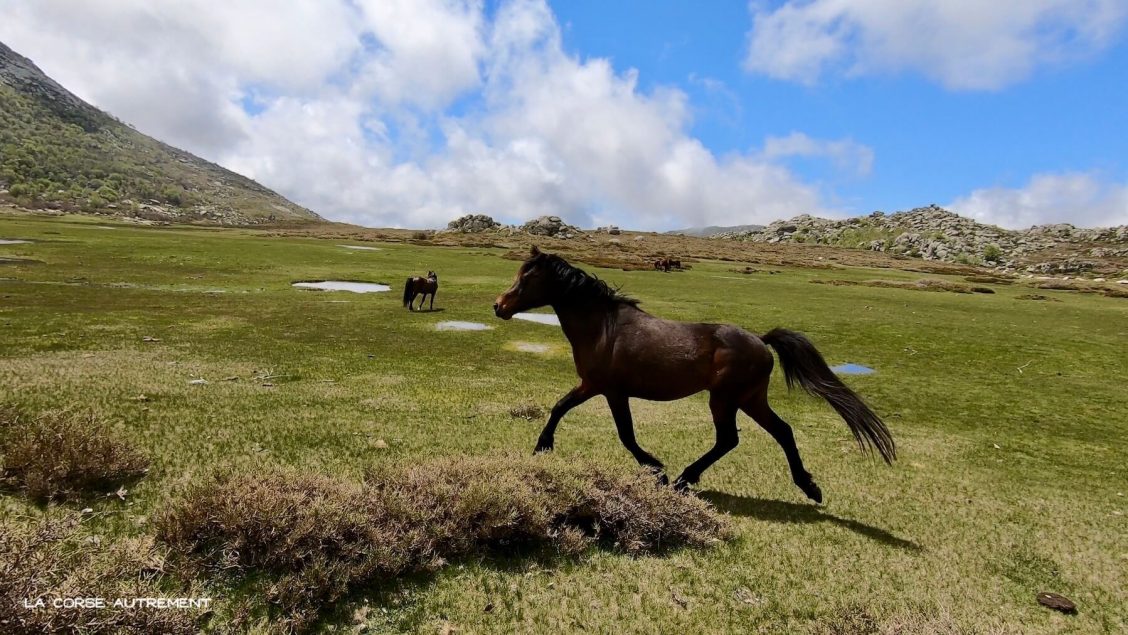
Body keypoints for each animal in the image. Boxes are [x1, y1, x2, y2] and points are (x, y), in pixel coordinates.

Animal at [489, 248, 893, 503]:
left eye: (526, 279)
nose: (498, 306)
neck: (602, 328)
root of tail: (761, 342)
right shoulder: (592, 386)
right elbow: (560, 407)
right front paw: (543, 446)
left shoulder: (610, 391)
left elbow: (625, 435)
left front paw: (657, 470)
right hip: (750, 399)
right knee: (782, 432)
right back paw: (809, 488)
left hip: (725, 399)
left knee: (729, 439)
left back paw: (685, 478)